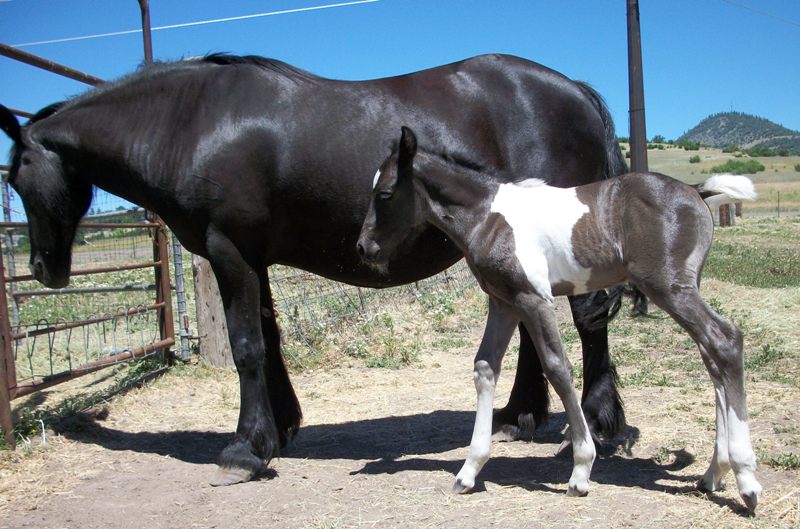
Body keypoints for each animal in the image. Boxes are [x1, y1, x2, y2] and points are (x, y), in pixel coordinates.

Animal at [0, 52, 624, 482]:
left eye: (17, 177)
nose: (42, 268)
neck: (191, 123)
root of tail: (575, 89)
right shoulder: (251, 257)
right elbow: (267, 340)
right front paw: (277, 429)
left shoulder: (228, 251)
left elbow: (246, 345)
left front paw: (244, 449)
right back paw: (519, 416)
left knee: (588, 319)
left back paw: (598, 425)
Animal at [356, 126, 764, 510]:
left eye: (386, 193)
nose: (363, 248)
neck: (489, 216)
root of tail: (696, 189)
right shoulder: (503, 302)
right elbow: (485, 367)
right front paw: (469, 470)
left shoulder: (533, 298)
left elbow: (557, 367)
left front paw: (581, 470)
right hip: (685, 287)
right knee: (712, 356)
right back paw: (714, 474)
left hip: (669, 287)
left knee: (725, 340)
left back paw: (746, 480)